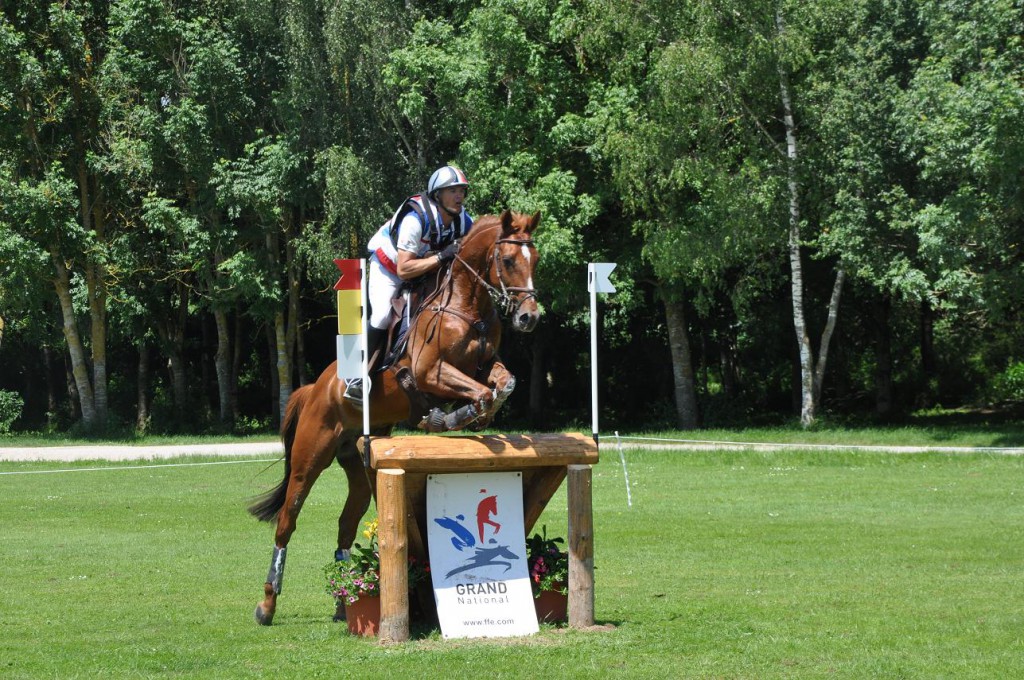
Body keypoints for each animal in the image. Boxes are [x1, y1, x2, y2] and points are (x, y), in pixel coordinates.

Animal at [248, 209, 544, 622]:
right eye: (508, 260)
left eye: (536, 260)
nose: (529, 317)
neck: (467, 305)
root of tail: (315, 388)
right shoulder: (428, 373)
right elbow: (481, 393)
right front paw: (449, 418)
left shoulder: (485, 366)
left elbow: (504, 383)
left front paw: (477, 417)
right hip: (311, 454)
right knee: (287, 520)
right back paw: (266, 605)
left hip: (358, 463)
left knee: (346, 525)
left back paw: (344, 607)